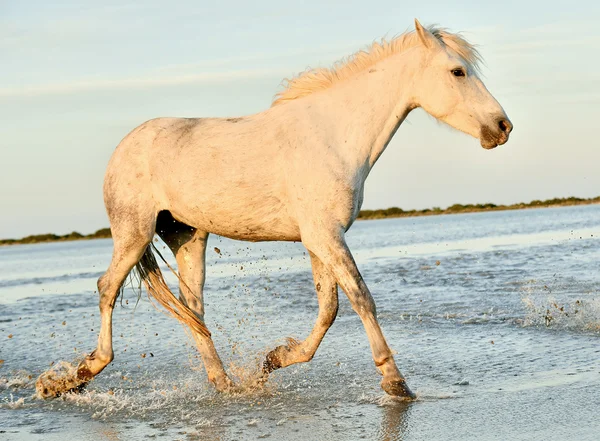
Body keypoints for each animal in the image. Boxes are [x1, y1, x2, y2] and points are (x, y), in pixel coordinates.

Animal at [36, 19, 510, 398]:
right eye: (458, 71)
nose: (502, 127)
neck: (334, 135)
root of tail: (125, 146)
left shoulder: (320, 239)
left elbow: (328, 309)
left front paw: (274, 359)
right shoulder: (325, 235)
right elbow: (361, 299)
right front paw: (395, 383)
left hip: (187, 237)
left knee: (193, 309)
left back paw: (225, 384)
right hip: (132, 233)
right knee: (107, 289)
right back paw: (73, 377)